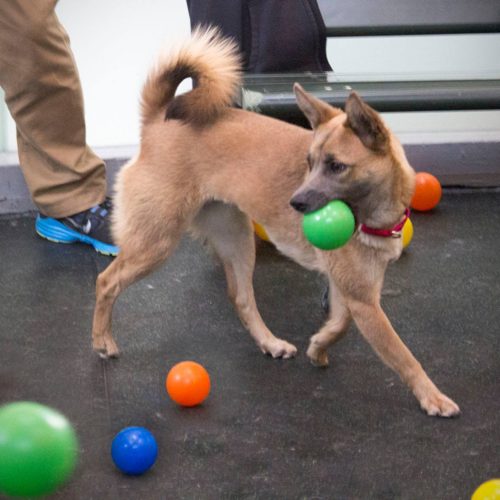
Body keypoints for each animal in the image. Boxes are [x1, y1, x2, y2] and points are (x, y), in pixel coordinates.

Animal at [92, 28, 458, 418]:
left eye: (336, 166)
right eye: (309, 162)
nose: (295, 202)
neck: (371, 212)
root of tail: (158, 121)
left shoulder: (350, 289)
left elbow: (340, 323)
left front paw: (319, 345)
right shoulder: (364, 301)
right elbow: (403, 355)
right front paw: (432, 396)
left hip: (237, 241)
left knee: (241, 298)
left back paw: (270, 343)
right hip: (156, 242)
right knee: (107, 281)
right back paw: (102, 340)